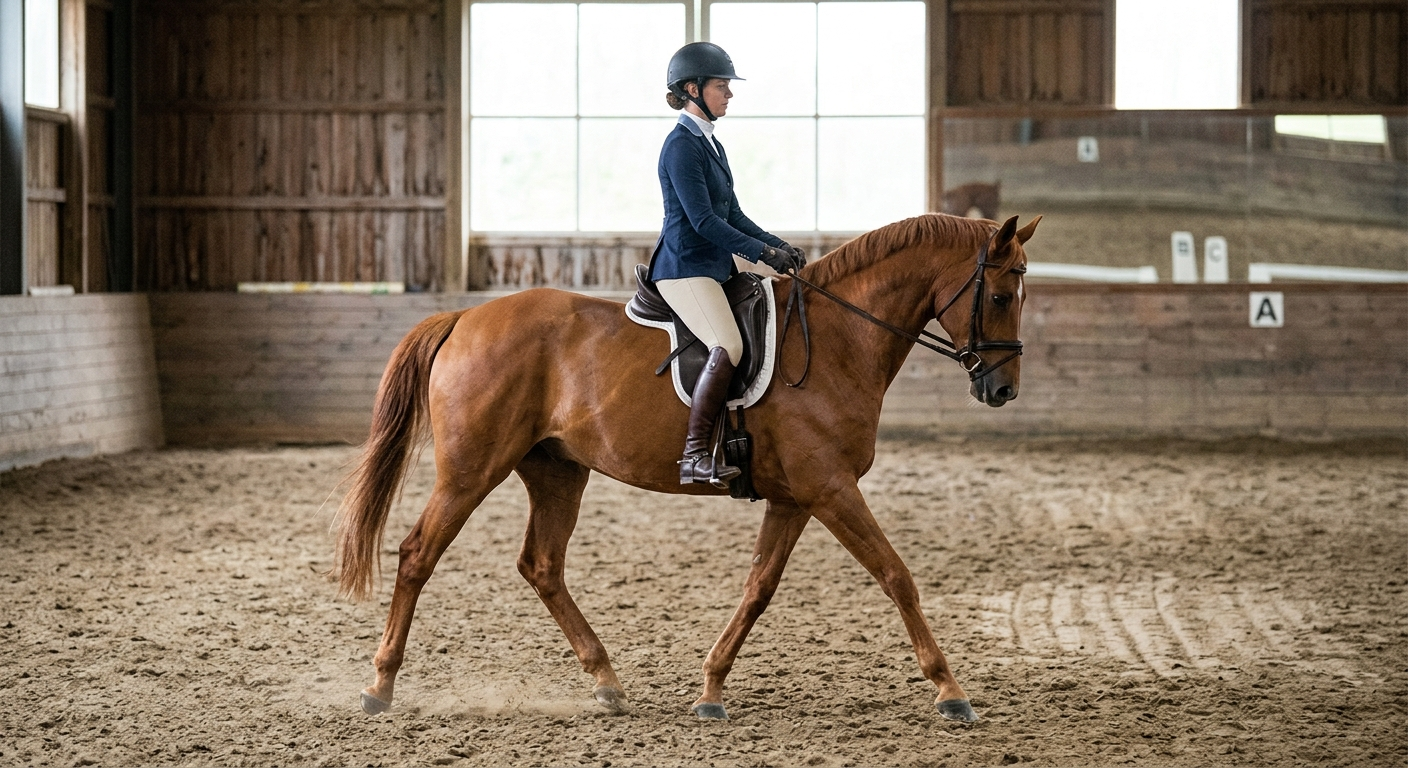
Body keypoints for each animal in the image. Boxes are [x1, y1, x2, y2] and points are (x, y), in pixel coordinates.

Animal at [334, 212, 1041, 723]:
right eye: (1001, 294)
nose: (1003, 390)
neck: (840, 339)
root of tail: (464, 317)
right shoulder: (831, 489)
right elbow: (897, 576)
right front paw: (951, 691)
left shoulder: (796, 497)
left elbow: (759, 589)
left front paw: (711, 689)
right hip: (471, 469)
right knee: (417, 555)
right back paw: (379, 687)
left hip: (557, 471)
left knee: (542, 566)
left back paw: (608, 683)